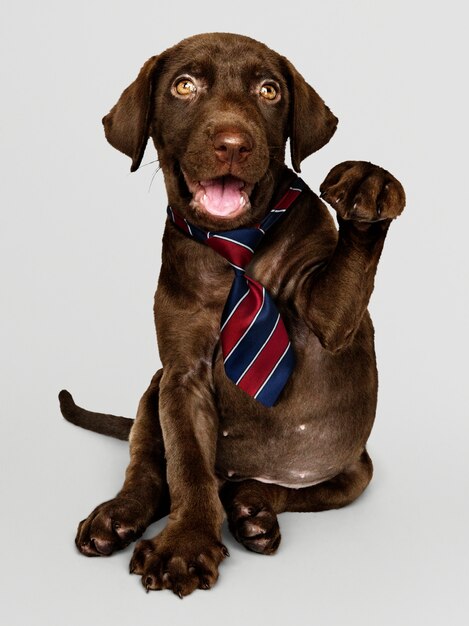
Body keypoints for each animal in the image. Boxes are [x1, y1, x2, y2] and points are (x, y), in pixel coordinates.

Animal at [57, 33, 402, 596]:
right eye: (183, 86)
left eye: (269, 90)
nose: (233, 144)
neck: (236, 246)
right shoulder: (182, 376)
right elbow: (187, 466)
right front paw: (185, 544)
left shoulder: (330, 320)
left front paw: (366, 186)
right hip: (153, 389)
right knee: (148, 468)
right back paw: (120, 517)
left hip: (354, 469)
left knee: (295, 490)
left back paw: (252, 509)